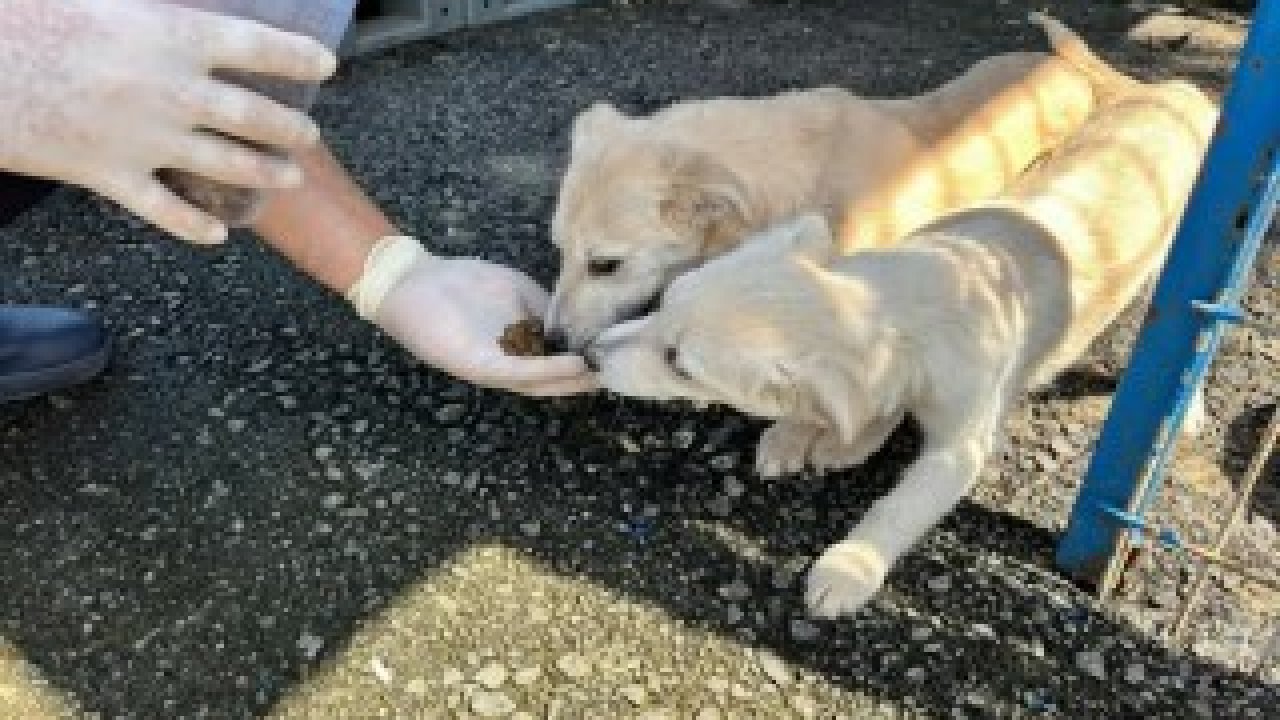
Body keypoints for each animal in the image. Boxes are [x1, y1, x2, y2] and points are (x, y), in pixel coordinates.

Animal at [588, 79, 1218, 617]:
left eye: (681, 366)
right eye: (665, 300)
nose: (590, 354)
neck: (907, 299)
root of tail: (1182, 90)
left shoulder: (960, 446)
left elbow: (899, 506)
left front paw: (846, 570)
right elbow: (863, 407)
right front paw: (826, 440)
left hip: (1177, 278)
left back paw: (1188, 412)